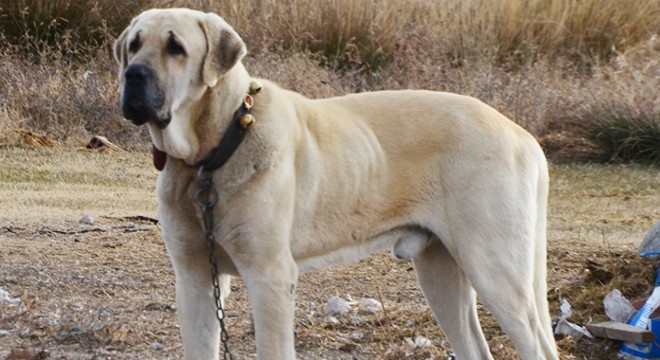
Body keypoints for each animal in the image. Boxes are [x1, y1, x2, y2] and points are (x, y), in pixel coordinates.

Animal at [113, 8, 556, 360]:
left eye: (176, 48)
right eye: (134, 45)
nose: (133, 75)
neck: (214, 149)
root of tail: (523, 136)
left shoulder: (270, 277)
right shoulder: (195, 278)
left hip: (496, 270)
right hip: (441, 270)